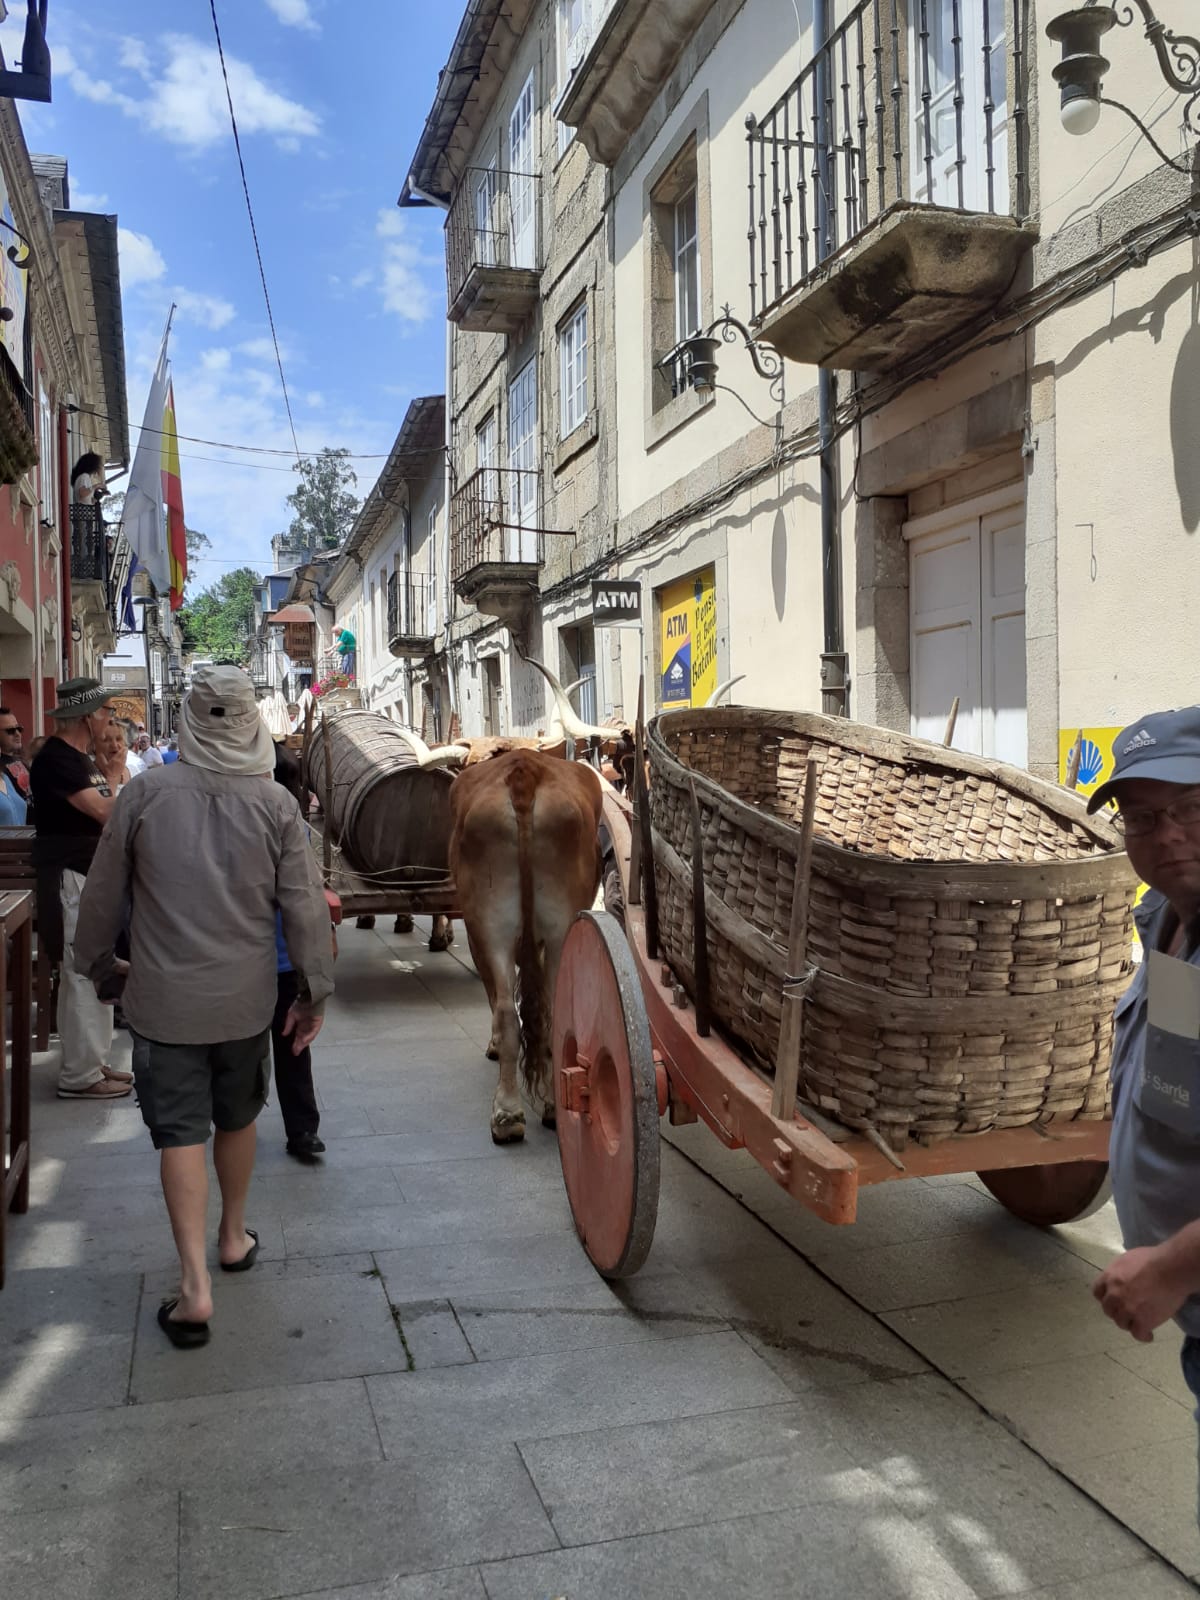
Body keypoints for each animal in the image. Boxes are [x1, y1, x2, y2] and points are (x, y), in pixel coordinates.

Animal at [449, 749, 603, 1143]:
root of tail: (524, 770)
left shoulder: (473, 936)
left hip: (489, 925)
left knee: (506, 1010)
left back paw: (506, 1112)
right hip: (558, 922)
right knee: (547, 1014)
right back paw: (542, 1107)